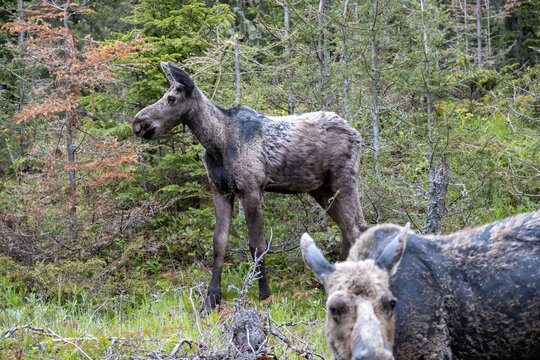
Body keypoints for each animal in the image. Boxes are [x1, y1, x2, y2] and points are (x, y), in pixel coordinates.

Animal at [133, 61, 368, 310]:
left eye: (171, 98)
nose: (138, 123)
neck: (216, 143)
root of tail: (357, 133)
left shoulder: (251, 188)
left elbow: (257, 245)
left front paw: (264, 294)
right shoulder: (220, 190)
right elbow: (219, 242)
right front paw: (211, 298)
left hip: (344, 179)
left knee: (357, 227)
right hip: (321, 189)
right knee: (346, 228)